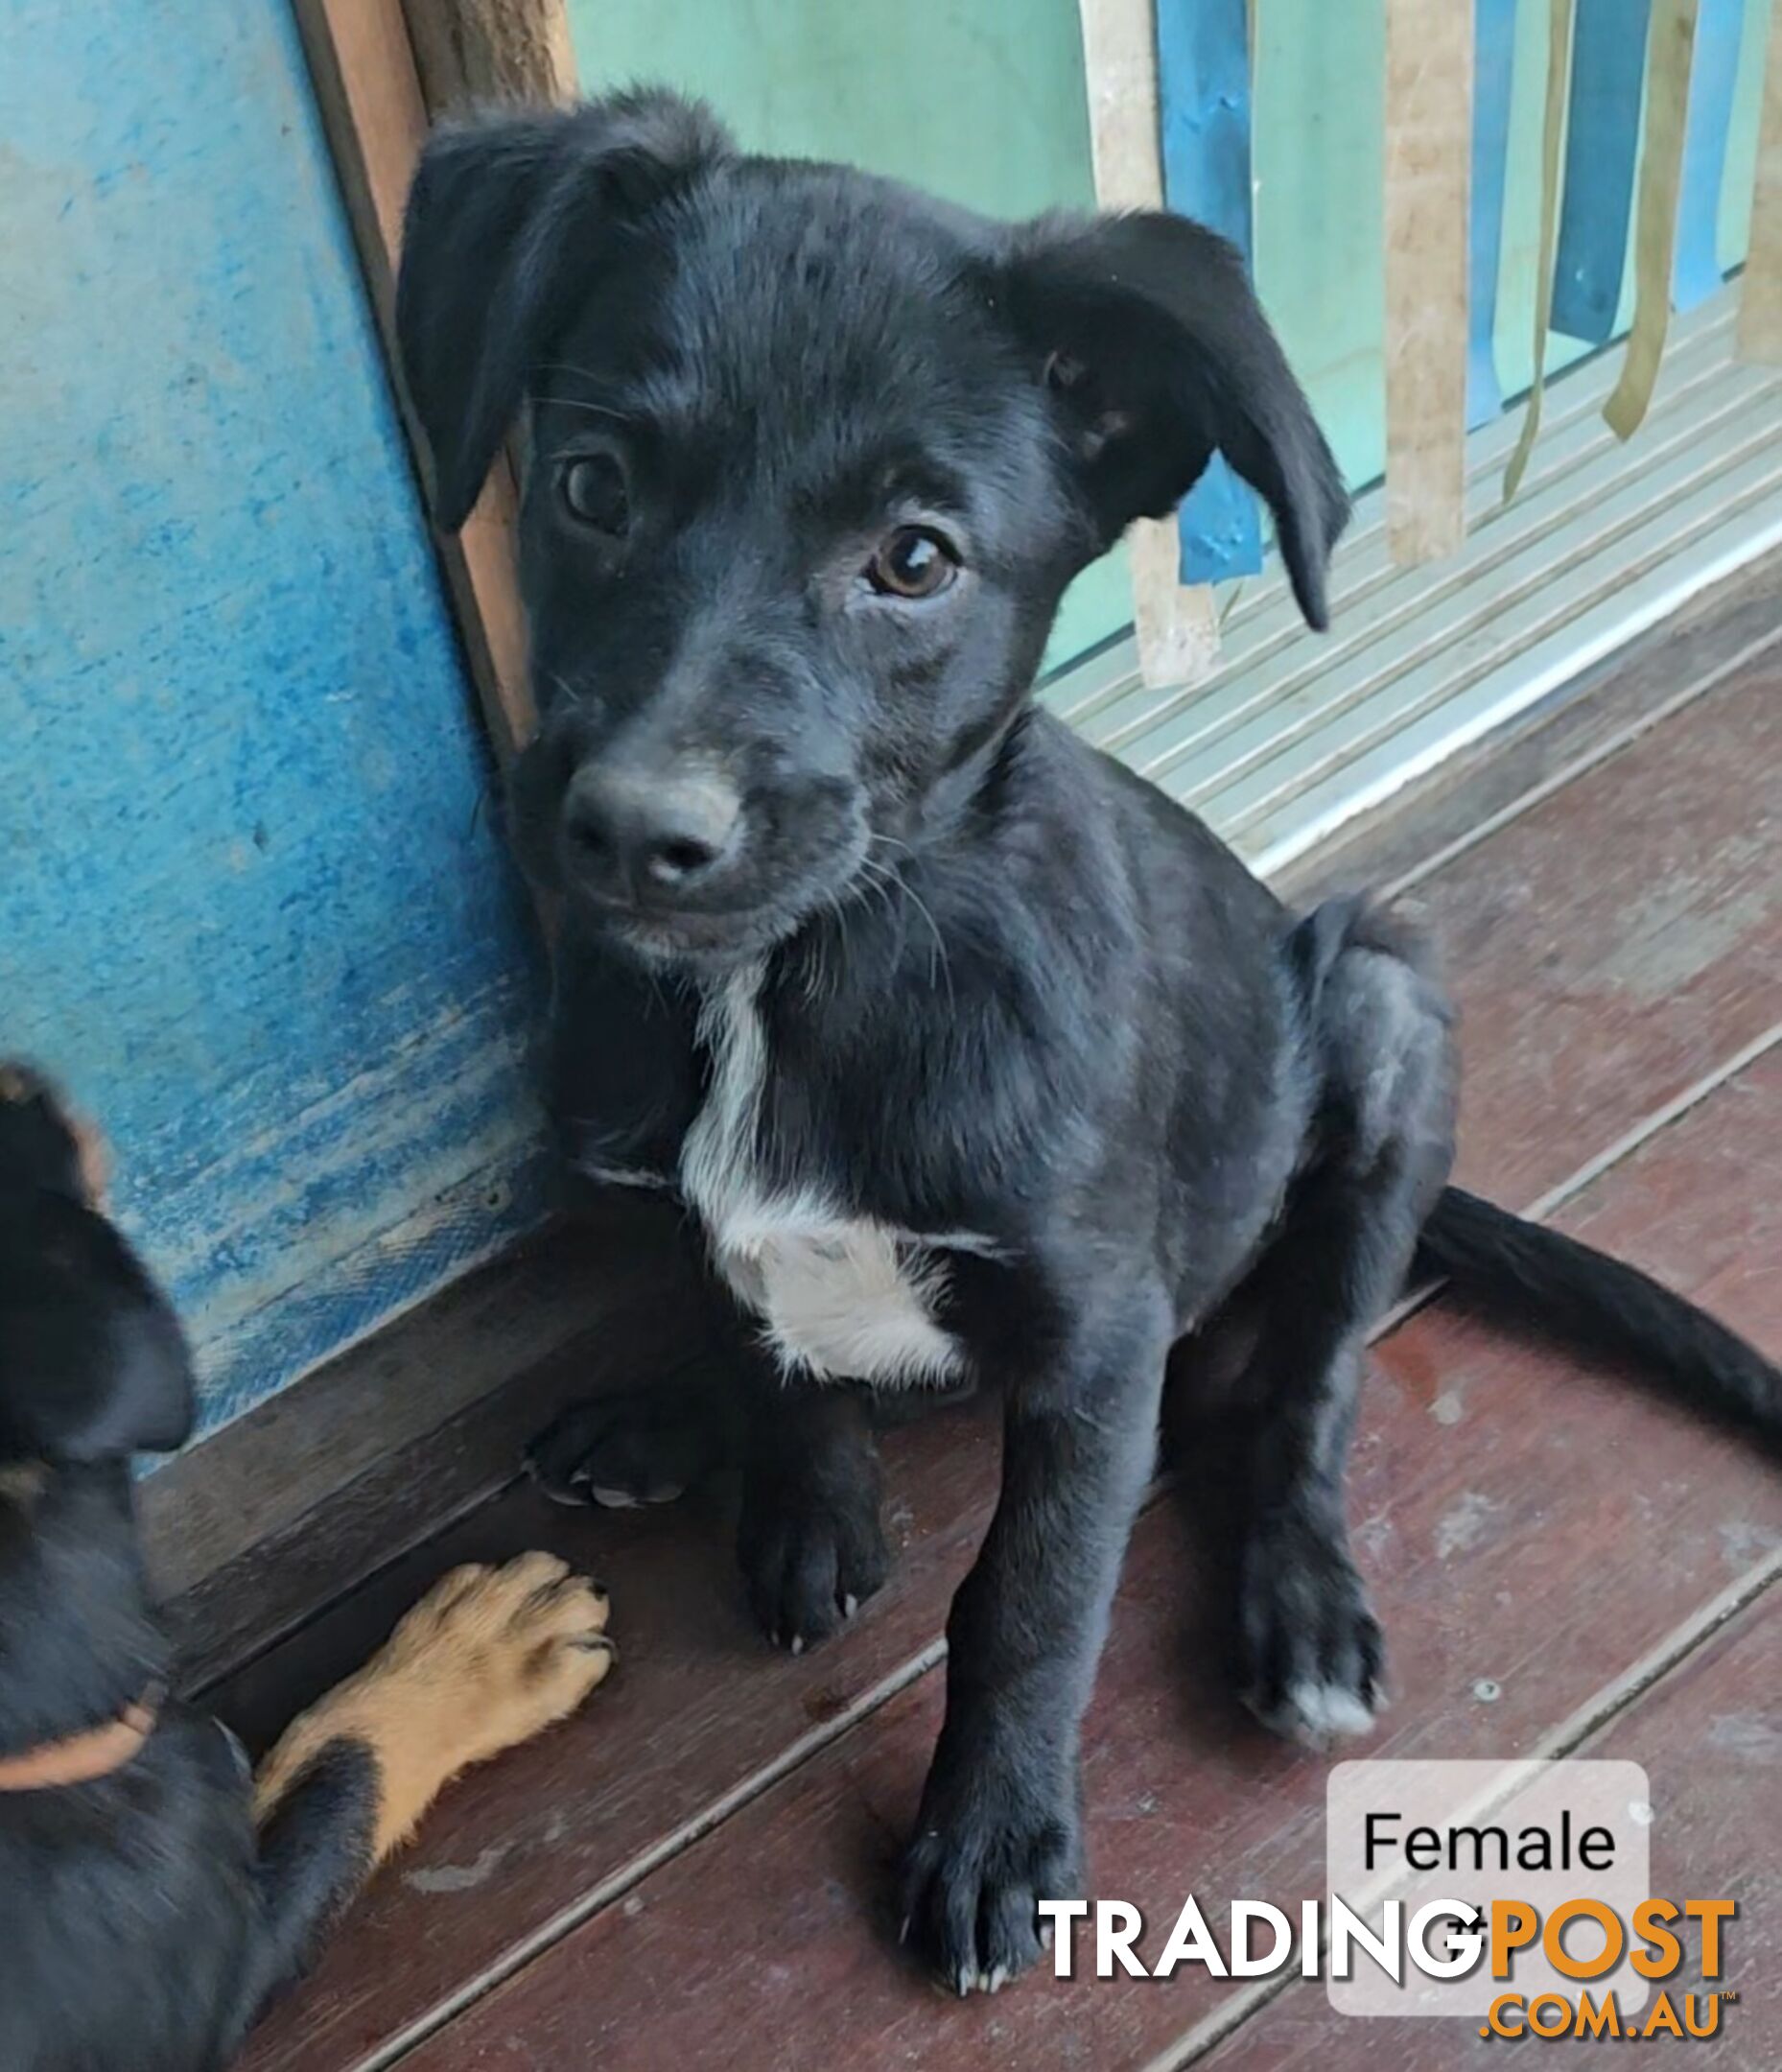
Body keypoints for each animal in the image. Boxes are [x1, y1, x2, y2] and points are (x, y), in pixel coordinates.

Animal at [393, 93, 1781, 1989]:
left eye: (914, 560)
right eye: (592, 486)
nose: (629, 834)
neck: (800, 982)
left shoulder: (1096, 1337)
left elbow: (1030, 1597)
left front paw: (989, 1833)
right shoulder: (695, 1199)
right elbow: (760, 1338)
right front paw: (800, 1491)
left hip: (1382, 1006)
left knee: (1304, 1390)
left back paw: (1299, 1601)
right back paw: (661, 1427)